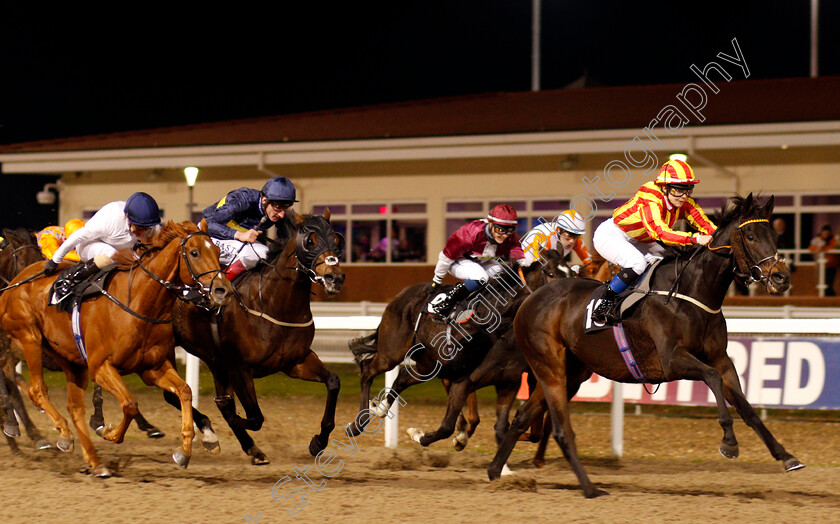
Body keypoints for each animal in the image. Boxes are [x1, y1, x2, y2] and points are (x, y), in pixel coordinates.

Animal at [0, 221, 233, 478]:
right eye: (194, 253)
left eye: (218, 252)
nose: (223, 290)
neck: (139, 303)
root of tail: (14, 284)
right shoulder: (101, 367)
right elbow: (130, 405)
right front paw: (108, 432)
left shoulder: (152, 368)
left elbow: (184, 391)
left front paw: (186, 451)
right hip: (29, 338)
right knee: (35, 390)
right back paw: (56, 434)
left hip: (68, 359)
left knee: (73, 407)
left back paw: (93, 460)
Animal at [172, 209, 346, 462]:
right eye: (310, 241)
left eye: (336, 240)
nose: (336, 278)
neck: (274, 303)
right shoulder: (238, 368)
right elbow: (252, 417)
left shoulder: (295, 362)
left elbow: (333, 382)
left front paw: (318, 441)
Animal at [486, 194, 800, 498]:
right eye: (750, 236)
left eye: (774, 234)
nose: (781, 277)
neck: (690, 293)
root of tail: (530, 298)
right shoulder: (671, 360)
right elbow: (711, 378)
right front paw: (729, 442)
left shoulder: (720, 359)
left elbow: (746, 406)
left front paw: (786, 456)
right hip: (549, 366)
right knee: (560, 428)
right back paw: (589, 488)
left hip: (570, 372)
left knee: (522, 417)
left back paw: (496, 471)